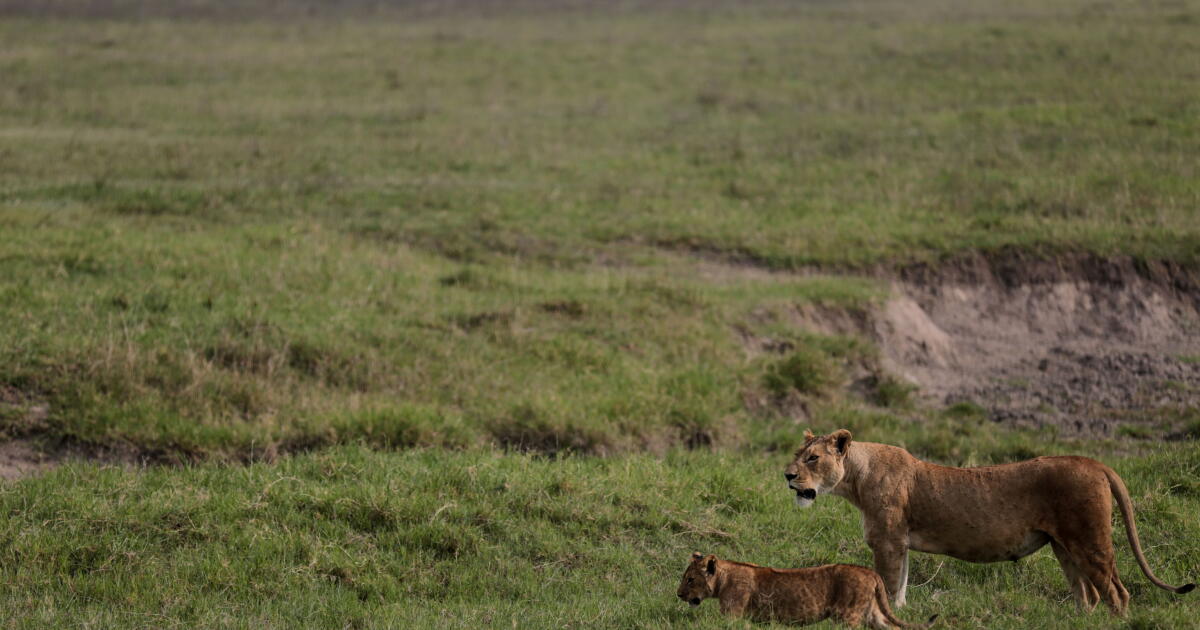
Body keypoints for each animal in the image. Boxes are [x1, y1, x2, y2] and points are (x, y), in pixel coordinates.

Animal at [676, 552, 938, 628]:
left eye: (690, 580)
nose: (678, 595)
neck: (724, 577)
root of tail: (870, 572)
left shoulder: (732, 615)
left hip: (848, 616)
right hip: (872, 613)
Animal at [783, 429, 1195, 616]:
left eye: (813, 458)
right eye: (798, 454)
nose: (787, 475)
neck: (856, 478)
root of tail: (1095, 462)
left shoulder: (887, 542)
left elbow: (886, 583)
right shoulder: (899, 544)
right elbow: (899, 585)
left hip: (1090, 540)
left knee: (1116, 592)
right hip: (1064, 547)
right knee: (1087, 594)